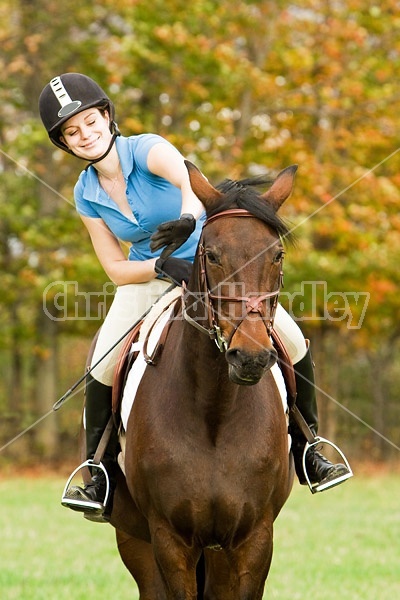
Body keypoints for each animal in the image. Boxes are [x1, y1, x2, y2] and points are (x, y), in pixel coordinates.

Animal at [109, 162, 296, 596]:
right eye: (211, 255)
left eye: (277, 255)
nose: (250, 357)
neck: (215, 408)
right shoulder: (169, 540)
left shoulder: (253, 540)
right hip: (136, 541)